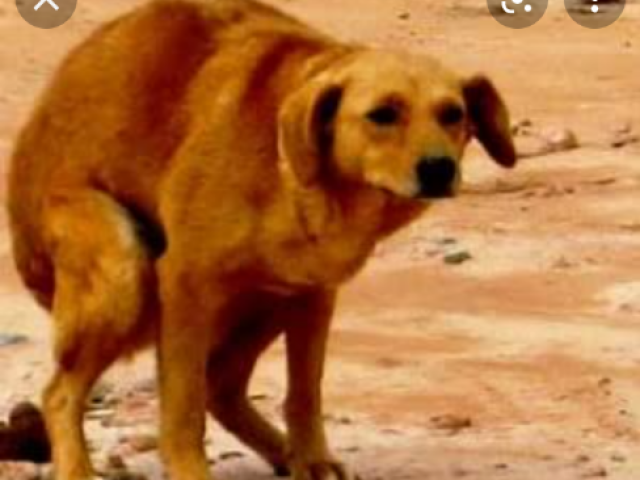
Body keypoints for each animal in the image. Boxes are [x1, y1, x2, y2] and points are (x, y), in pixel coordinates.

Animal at [7, 0, 516, 480]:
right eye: (382, 115)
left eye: (453, 114)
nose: (439, 168)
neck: (303, 183)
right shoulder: (185, 286)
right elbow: (183, 406)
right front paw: (189, 469)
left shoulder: (314, 293)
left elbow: (304, 394)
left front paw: (312, 459)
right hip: (122, 267)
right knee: (60, 393)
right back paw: (76, 468)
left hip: (266, 297)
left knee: (222, 386)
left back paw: (282, 452)